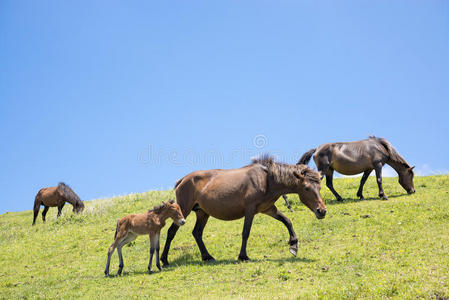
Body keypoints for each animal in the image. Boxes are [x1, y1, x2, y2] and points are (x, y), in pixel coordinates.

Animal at [161, 156, 326, 266]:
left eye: (319, 187)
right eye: (306, 188)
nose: (321, 211)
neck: (267, 179)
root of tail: (182, 180)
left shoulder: (268, 209)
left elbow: (287, 221)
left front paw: (294, 245)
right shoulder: (250, 210)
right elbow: (246, 232)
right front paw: (243, 256)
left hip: (202, 213)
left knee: (197, 233)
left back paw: (207, 257)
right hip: (184, 209)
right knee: (171, 232)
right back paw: (164, 260)